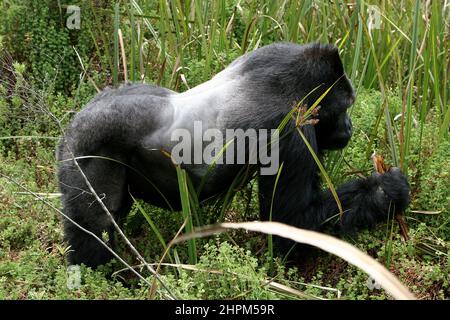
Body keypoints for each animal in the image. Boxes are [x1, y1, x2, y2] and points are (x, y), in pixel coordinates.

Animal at [58, 42, 410, 268]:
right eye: (346, 106)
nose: (349, 127)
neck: (294, 84)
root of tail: (75, 120)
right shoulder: (290, 129)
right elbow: (291, 222)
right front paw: (388, 190)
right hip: (85, 148)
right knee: (95, 230)